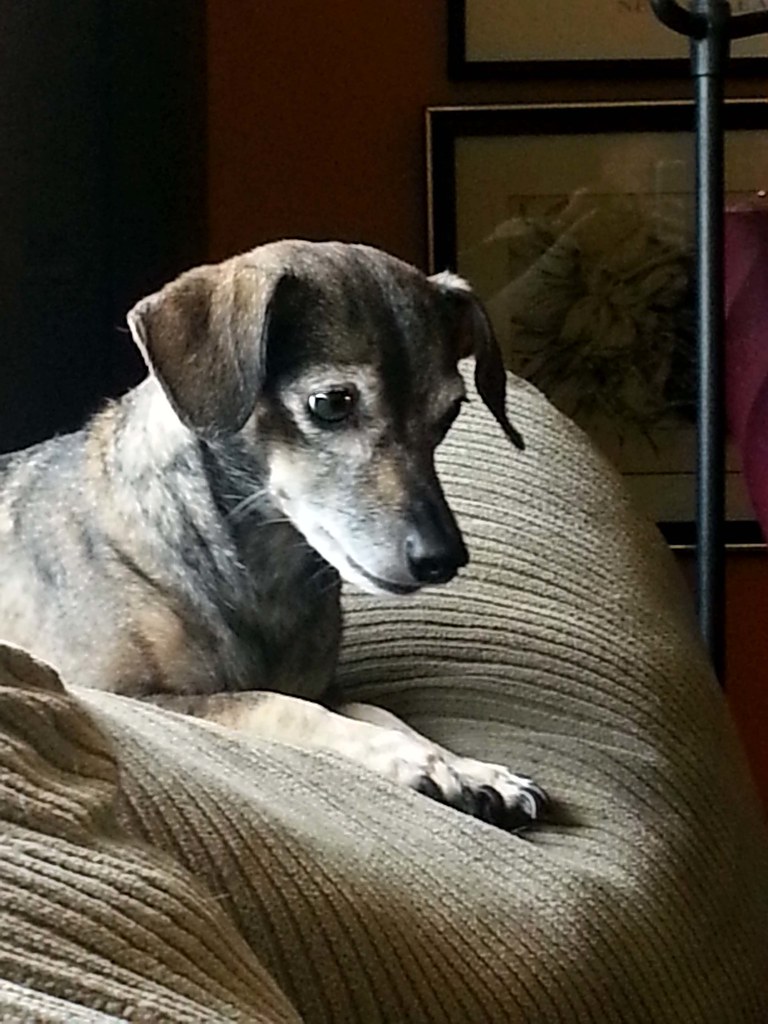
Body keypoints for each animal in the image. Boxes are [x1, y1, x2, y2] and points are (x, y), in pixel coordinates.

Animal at [0, 241, 548, 831]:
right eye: (331, 402)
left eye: (450, 413)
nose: (443, 558)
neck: (260, 571)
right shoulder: (125, 694)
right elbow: (281, 705)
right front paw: (413, 759)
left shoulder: (330, 690)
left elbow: (375, 710)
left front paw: (470, 768)